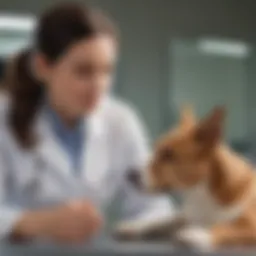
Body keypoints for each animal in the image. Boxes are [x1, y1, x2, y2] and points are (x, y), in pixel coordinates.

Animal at [115, 106, 256, 250]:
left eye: (169, 155)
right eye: (155, 149)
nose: (129, 175)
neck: (200, 192)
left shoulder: (251, 225)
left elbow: (224, 228)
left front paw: (199, 234)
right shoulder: (185, 215)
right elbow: (163, 220)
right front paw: (135, 225)